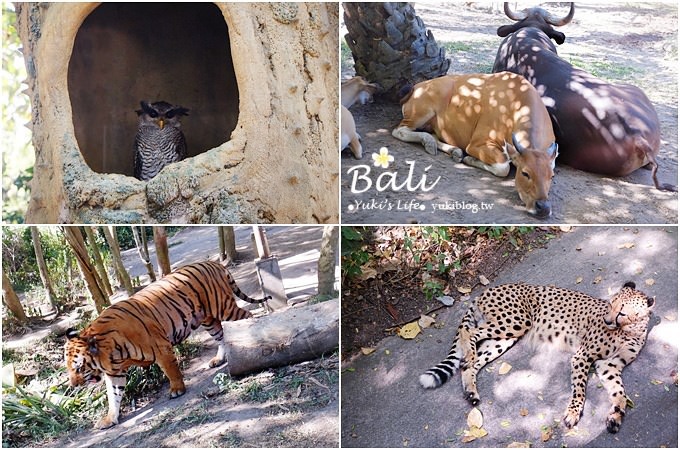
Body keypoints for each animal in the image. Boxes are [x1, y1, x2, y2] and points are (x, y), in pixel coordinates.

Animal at [63, 260, 270, 428]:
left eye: (79, 368)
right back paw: (218, 359)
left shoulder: (161, 348)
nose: (72, 385)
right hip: (207, 319)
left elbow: (171, 371)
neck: (109, 354)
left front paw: (177, 390)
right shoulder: (115, 373)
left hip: (223, 307)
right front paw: (109, 419)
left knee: (247, 316)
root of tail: (214, 263)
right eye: (69, 369)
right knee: (221, 335)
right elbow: (113, 396)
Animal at [394, 72, 556, 218]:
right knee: (399, 131)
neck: (515, 107)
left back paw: (453, 150)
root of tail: (416, 87)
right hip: (420, 114)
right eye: (525, 173)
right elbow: (503, 166)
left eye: (551, 176)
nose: (543, 207)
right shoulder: (476, 144)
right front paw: (470, 159)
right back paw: (429, 142)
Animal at [420, 282, 652, 432]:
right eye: (611, 304)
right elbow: (579, 390)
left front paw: (616, 414)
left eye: (622, 311)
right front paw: (573, 413)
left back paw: (471, 389)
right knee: (469, 333)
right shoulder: (582, 356)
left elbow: (619, 391)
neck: (629, 329)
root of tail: (488, 290)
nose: (607, 320)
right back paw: (468, 356)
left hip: (506, 337)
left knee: (473, 360)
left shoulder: (609, 365)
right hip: (516, 321)